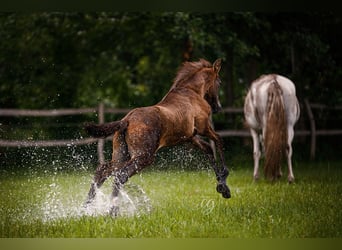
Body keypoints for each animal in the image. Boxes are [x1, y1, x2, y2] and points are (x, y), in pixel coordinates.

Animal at [84, 58, 231, 213]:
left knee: (103, 171)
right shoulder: (204, 127)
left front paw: (223, 187)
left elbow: (208, 149)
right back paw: (113, 210)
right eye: (219, 82)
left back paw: (86, 208)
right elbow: (219, 141)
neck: (191, 92)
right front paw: (224, 181)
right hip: (144, 156)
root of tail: (126, 120)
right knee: (121, 175)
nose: (218, 108)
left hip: (122, 155)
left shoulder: (189, 138)